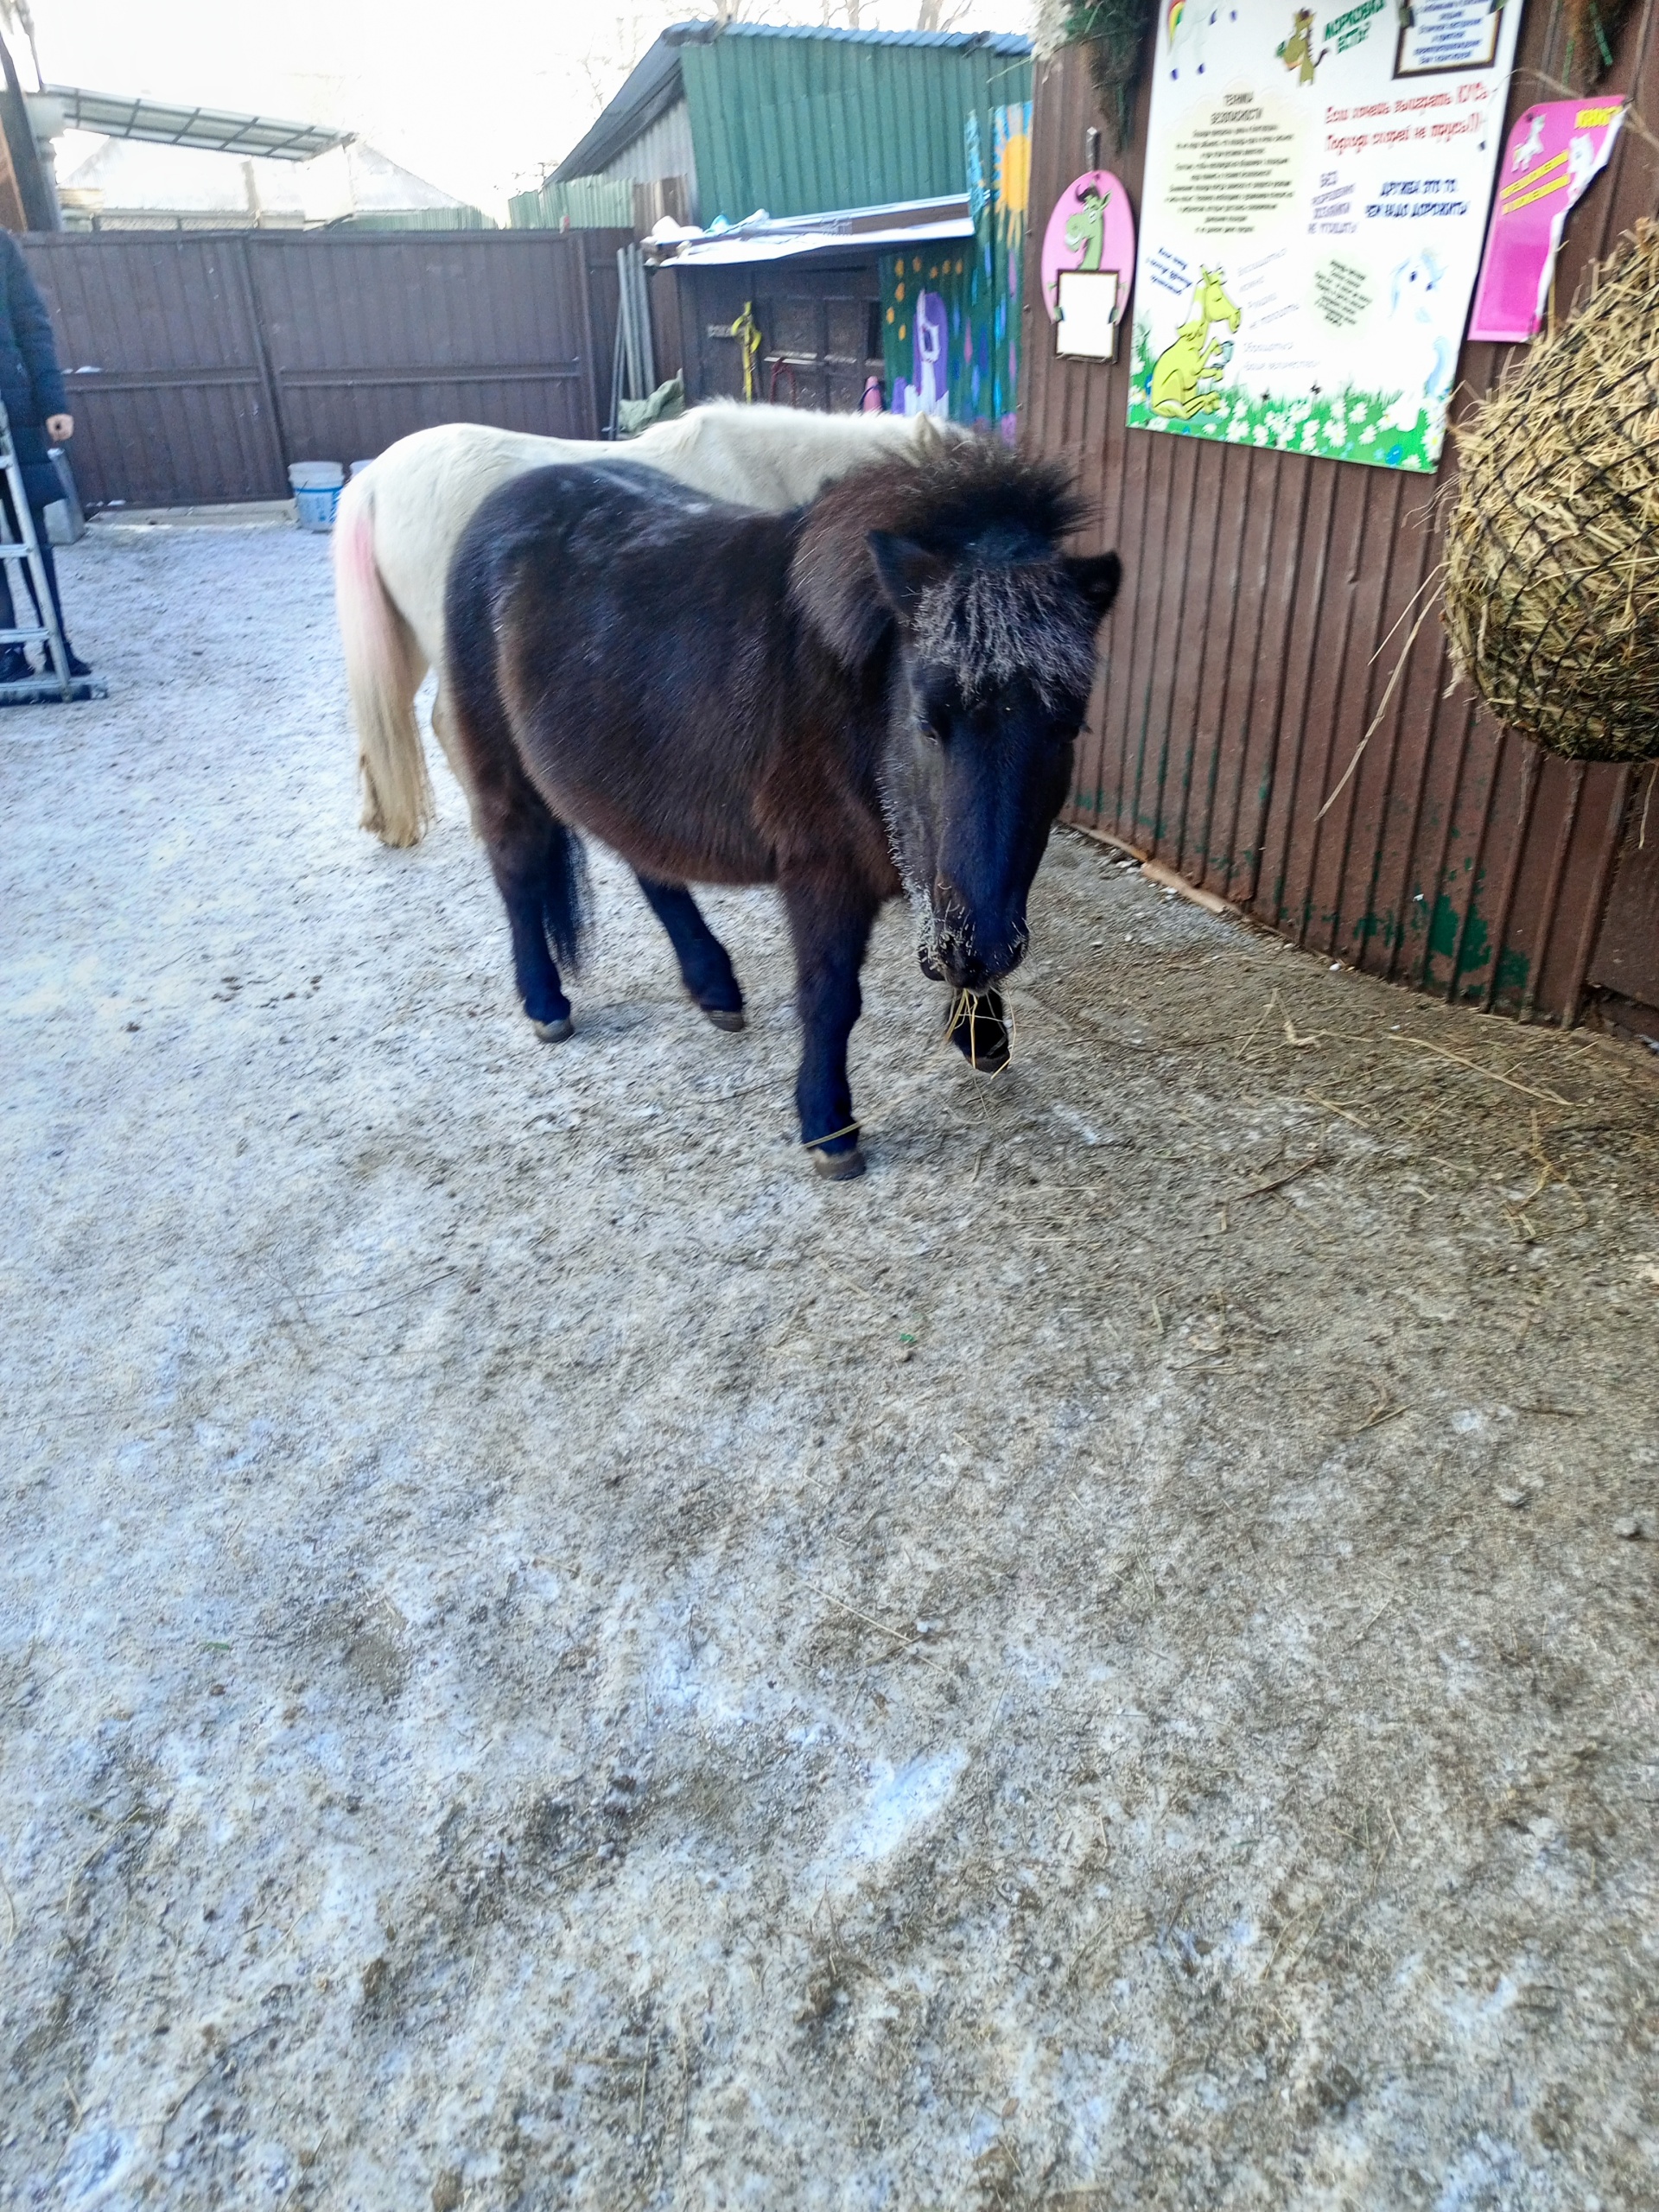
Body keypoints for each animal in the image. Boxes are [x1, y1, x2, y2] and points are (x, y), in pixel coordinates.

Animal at [444, 429, 1119, 1176]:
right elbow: (830, 997)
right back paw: (545, 1001)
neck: (851, 686)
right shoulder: (822, 873)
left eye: (1066, 727)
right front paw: (829, 1126)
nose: (984, 951)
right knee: (517, 868)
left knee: (651, 867)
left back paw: (713, 985)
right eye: (926, 720)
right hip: (504, 772)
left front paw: (982, 1031)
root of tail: (502, 503)